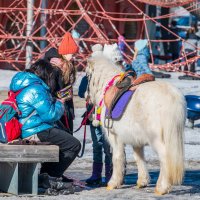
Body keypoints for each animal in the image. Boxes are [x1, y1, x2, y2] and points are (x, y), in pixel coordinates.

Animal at [86, 43, 186, 194]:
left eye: (87, 75)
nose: (87, 97)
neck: (107, 87)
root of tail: (173, 96)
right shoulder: (136, 139)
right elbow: (139, 158)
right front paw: (142, 181)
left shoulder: (115, 137)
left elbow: (117, 157)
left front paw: (113, 183)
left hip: (156, 138)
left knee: (165, 157)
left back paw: (162, 187)